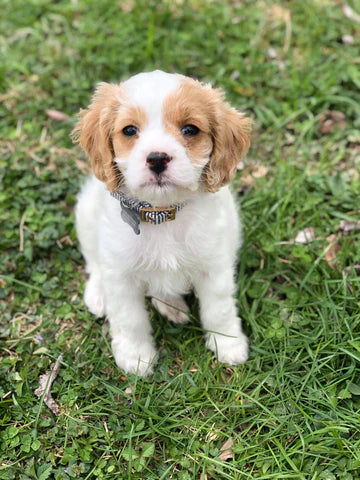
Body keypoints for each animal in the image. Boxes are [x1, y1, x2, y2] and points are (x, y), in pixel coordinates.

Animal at [73, 69, 252, 376]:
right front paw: (135, 357)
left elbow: (219, 309)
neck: (161, 213)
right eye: (129, 130)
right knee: (94, 261)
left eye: (190, 129)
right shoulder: (121, 274)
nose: (157, 158)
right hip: (85, 213)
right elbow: (130, 318)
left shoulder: (214, 266)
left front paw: (228, 344)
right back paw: (99, 295)